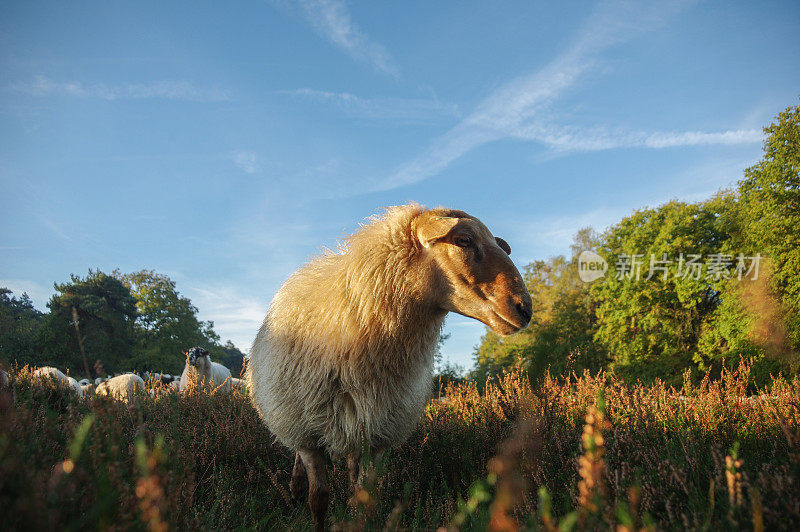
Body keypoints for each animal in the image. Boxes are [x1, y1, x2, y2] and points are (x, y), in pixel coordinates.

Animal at [245, 203, 532, 528]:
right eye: (463, 240)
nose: (525, 309)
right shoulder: (306, 434)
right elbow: (318, 499)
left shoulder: (379, 437)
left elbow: (363, 500)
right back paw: (294, 488)